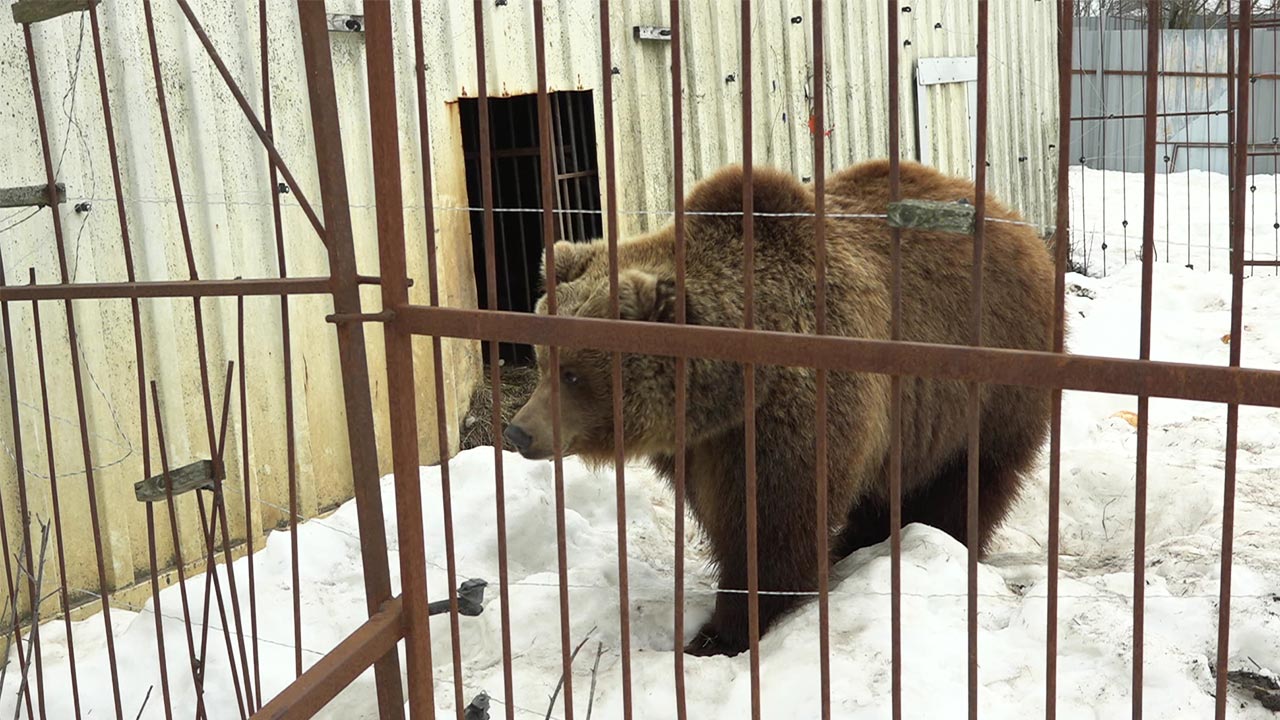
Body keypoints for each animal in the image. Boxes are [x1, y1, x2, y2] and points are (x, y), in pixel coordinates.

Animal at [504, 158, 1054, 655]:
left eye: (574, 373)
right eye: (541, 358)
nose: (518, 432)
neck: (732, 391)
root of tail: (1014, 219)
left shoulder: (794, 415)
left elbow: (773, 526)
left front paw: (723, 632)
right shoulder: (703, 446)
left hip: (992, 380)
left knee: (968, 477)